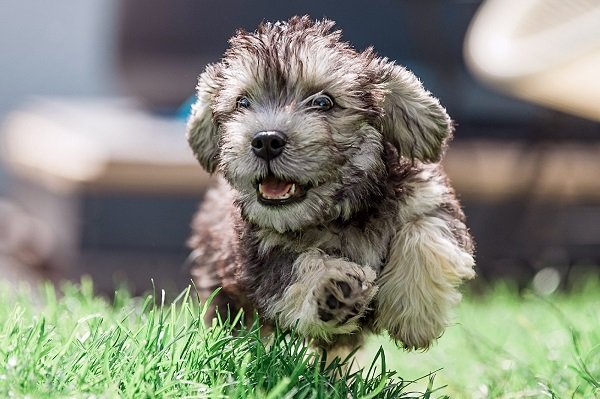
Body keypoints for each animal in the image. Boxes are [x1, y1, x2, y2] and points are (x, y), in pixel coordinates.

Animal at [185, 15, 476, 354]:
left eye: (324, 102)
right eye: (242, 102)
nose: (266, 141)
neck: (340, 214)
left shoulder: (428, 199)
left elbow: (424, 233)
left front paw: (415, 317)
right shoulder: (259, 253)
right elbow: (295, 266)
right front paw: (332, 286)